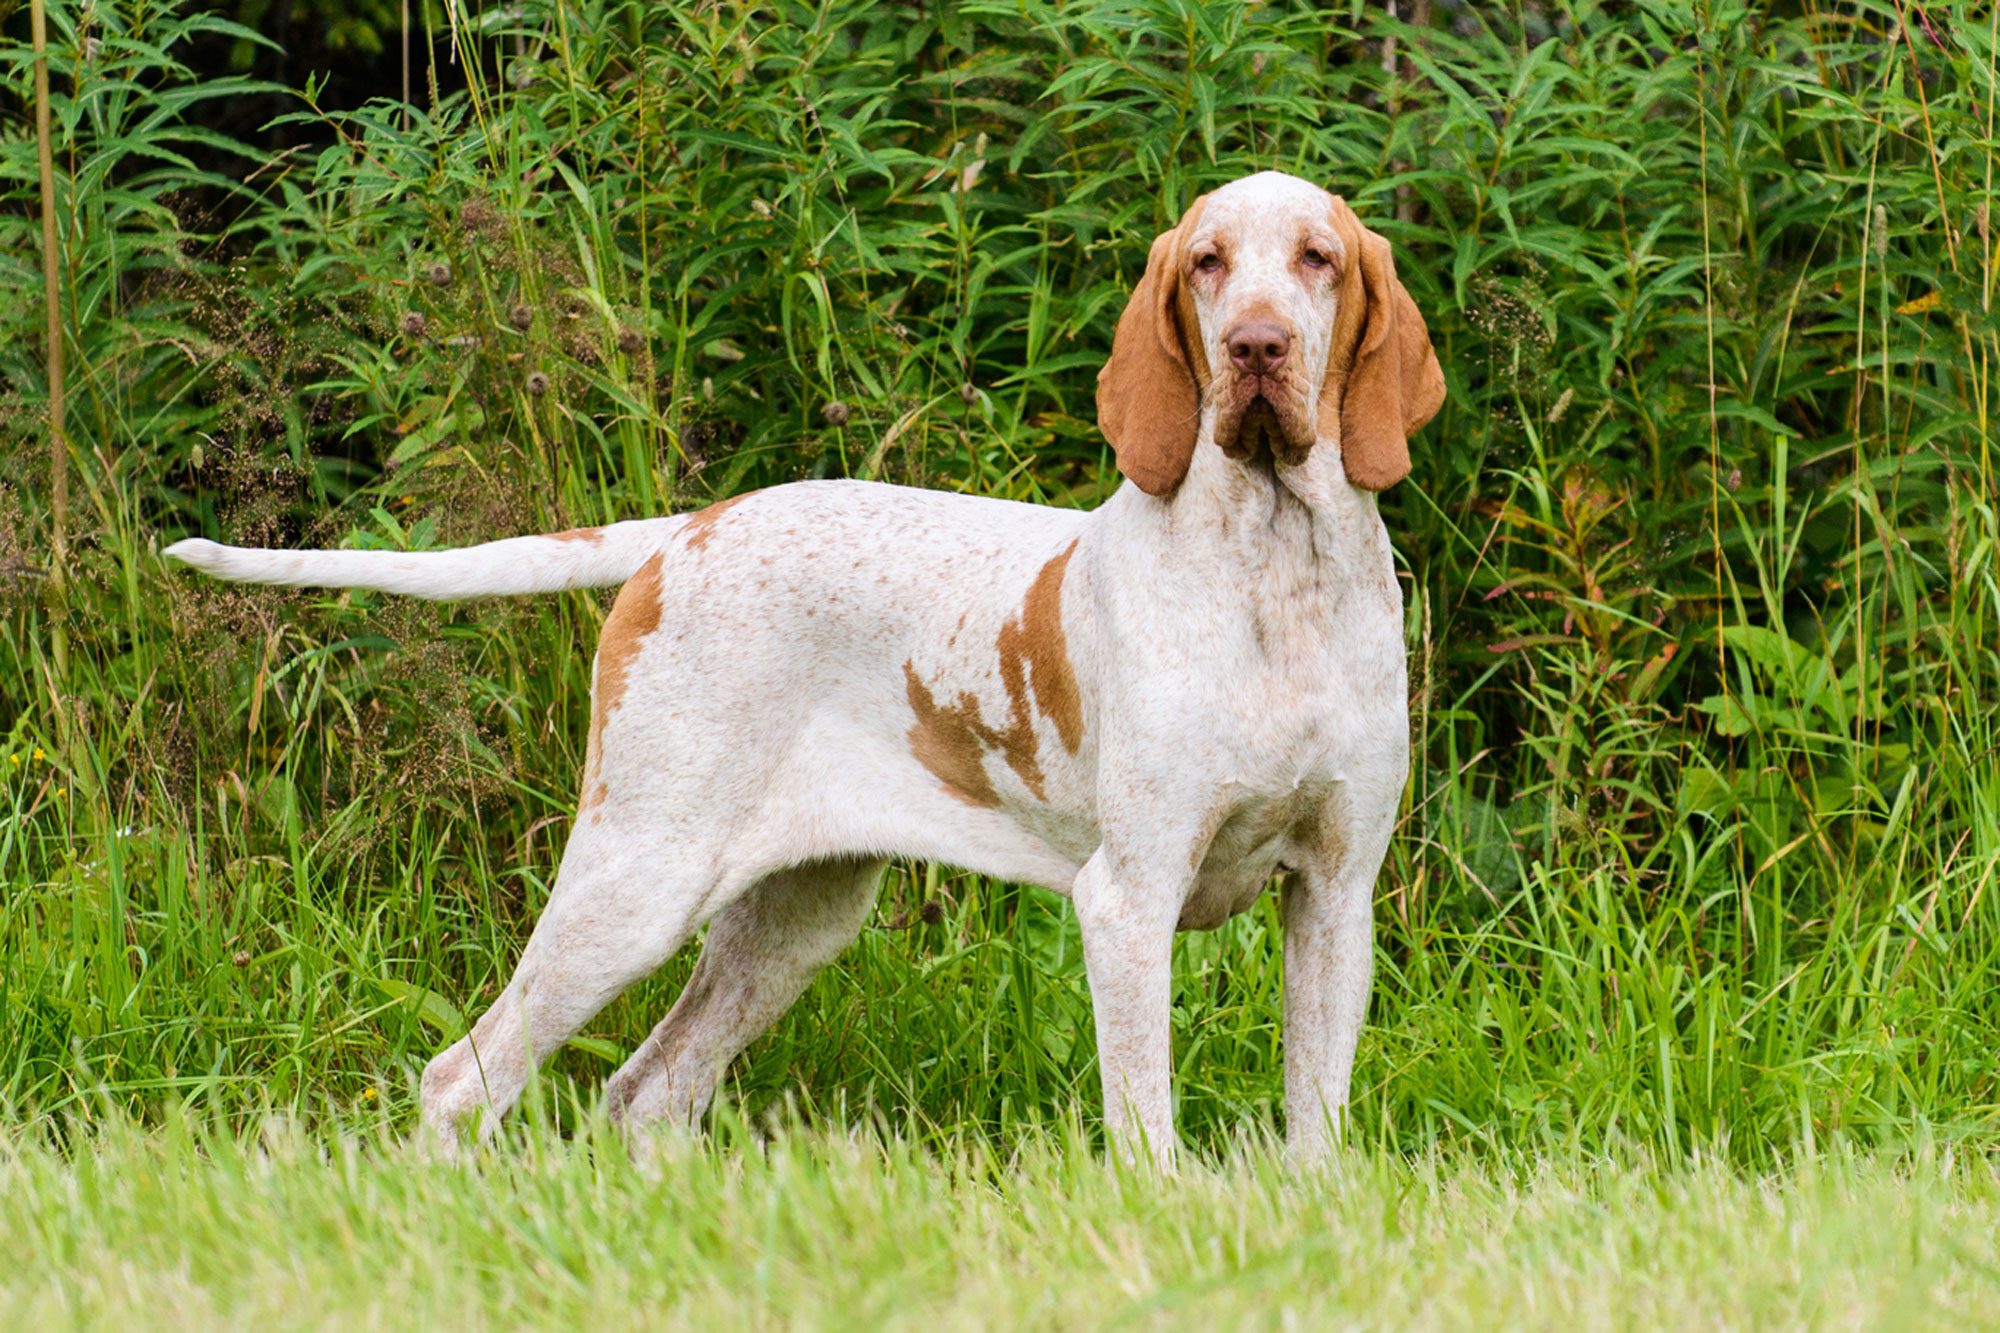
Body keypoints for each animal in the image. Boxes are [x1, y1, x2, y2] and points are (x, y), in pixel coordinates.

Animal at [168, 169, 1440, 1160]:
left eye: (1318, 260)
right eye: (1208, 265)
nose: (1256, 347)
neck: (1273, 578)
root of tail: (686, 529)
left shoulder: (1333, 899)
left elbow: (1314, 1128)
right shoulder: (1128, 900)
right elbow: (1146, 1131)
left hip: (790, 918)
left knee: (647, 1090)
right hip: (639, 881)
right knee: (463, 1079)